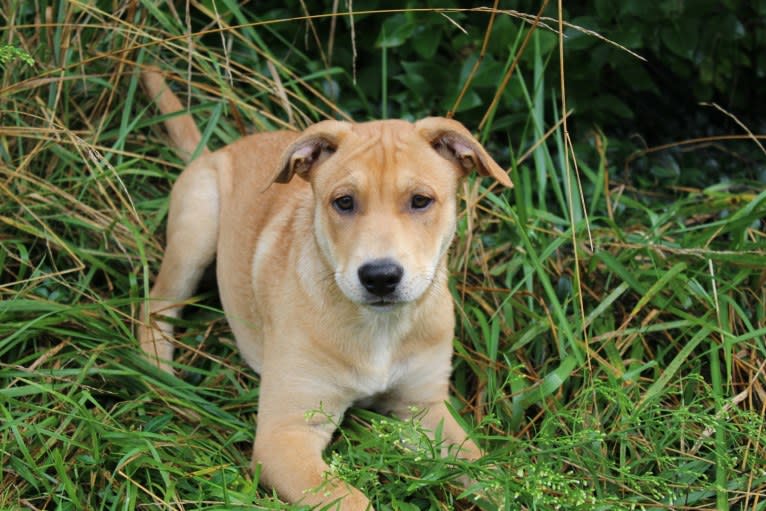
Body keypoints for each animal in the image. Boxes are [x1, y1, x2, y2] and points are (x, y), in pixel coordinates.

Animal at [140, 66, 512, 510]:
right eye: (344, 202)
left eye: (421, 200)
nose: (380, 277)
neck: (379, 328)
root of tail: (217, 151)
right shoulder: (286, 435)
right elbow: (353, 500)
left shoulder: (425, 409)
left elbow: (490, 475)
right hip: (196, 228)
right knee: (154, 311)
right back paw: (166, 383)